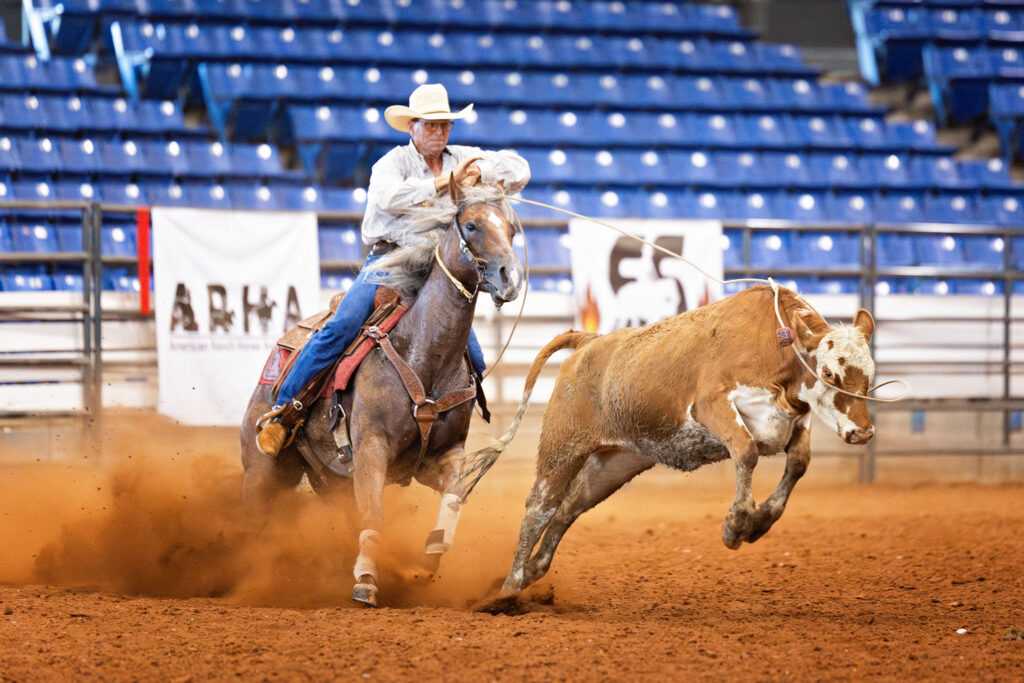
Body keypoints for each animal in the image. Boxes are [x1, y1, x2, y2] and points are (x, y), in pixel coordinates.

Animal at [240, 182, 524, 607]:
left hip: (330, 480)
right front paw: (367, 582)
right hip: (262, 469)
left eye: (510, 229)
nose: (511, 276)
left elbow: (454, 497)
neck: (423, 353)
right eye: (472, 225)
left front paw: (428, 561)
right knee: (255, 517)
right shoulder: (372, 447)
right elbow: (374, 514)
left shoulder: (443, 454)